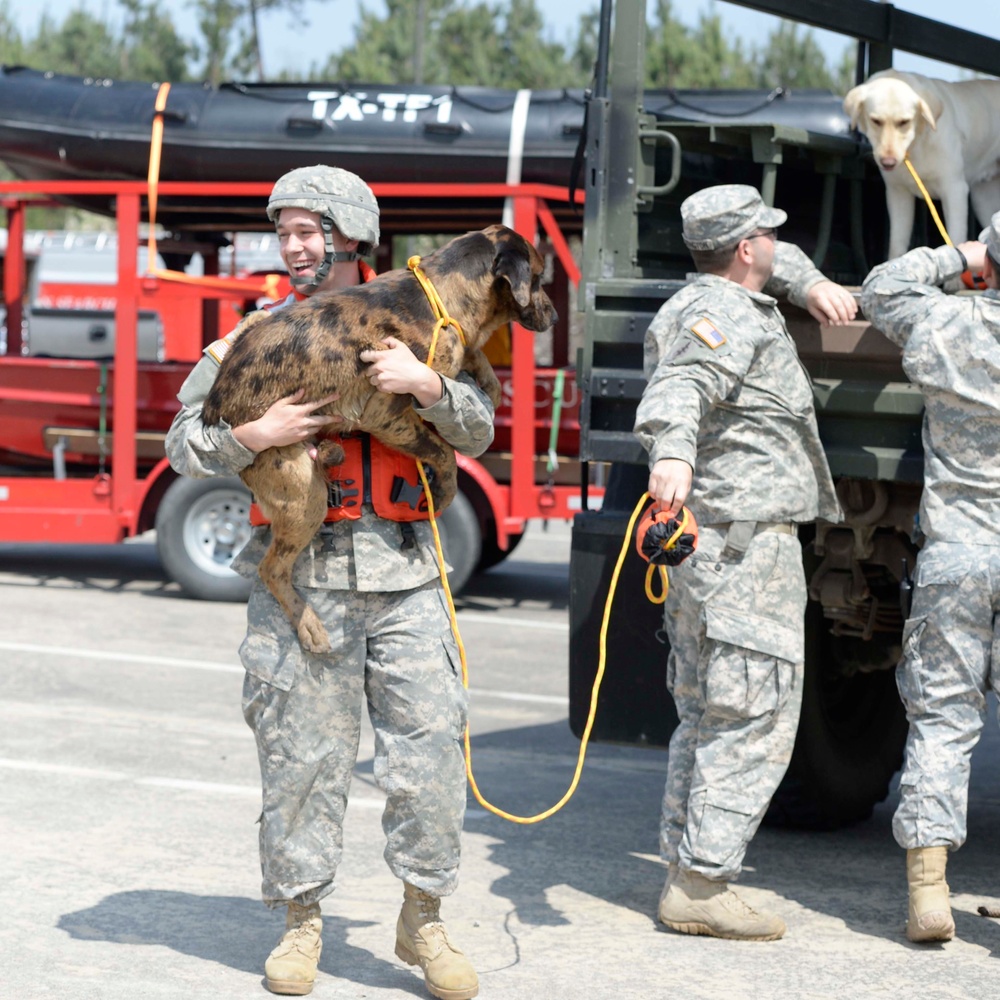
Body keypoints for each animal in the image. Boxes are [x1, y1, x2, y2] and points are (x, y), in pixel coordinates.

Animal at [202, 223, 560, 652]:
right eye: (539, 277)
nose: (557, 316)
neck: (442, 294)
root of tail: (212, 411)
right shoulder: (385, 414)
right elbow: (444, 454)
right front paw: (442, 493)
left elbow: (471, 360)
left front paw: (488, 385)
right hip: (305, 493)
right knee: (270, 568)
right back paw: (310, 626)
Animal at [844, 69, 1000, 258]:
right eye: (876, 121)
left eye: (904, 122)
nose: (887, 162)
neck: (916, 145)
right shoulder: (898, 195)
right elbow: (896, 246)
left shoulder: (954, 191)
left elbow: (955, 240)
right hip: (983, 200)